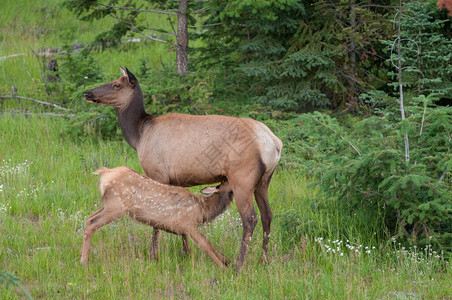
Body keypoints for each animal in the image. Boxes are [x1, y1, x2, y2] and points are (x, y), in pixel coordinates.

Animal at [81, 166, 235, 270]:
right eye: (226, 179)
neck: (203, 210)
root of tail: (105, 173)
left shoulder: (185, 228)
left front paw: (226, 260)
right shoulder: (188, 224)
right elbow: (205, 244)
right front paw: (224, 267)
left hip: (108, 205)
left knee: (89, 218)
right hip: (116, 206)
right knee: (91, 222)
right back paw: (84, 261)